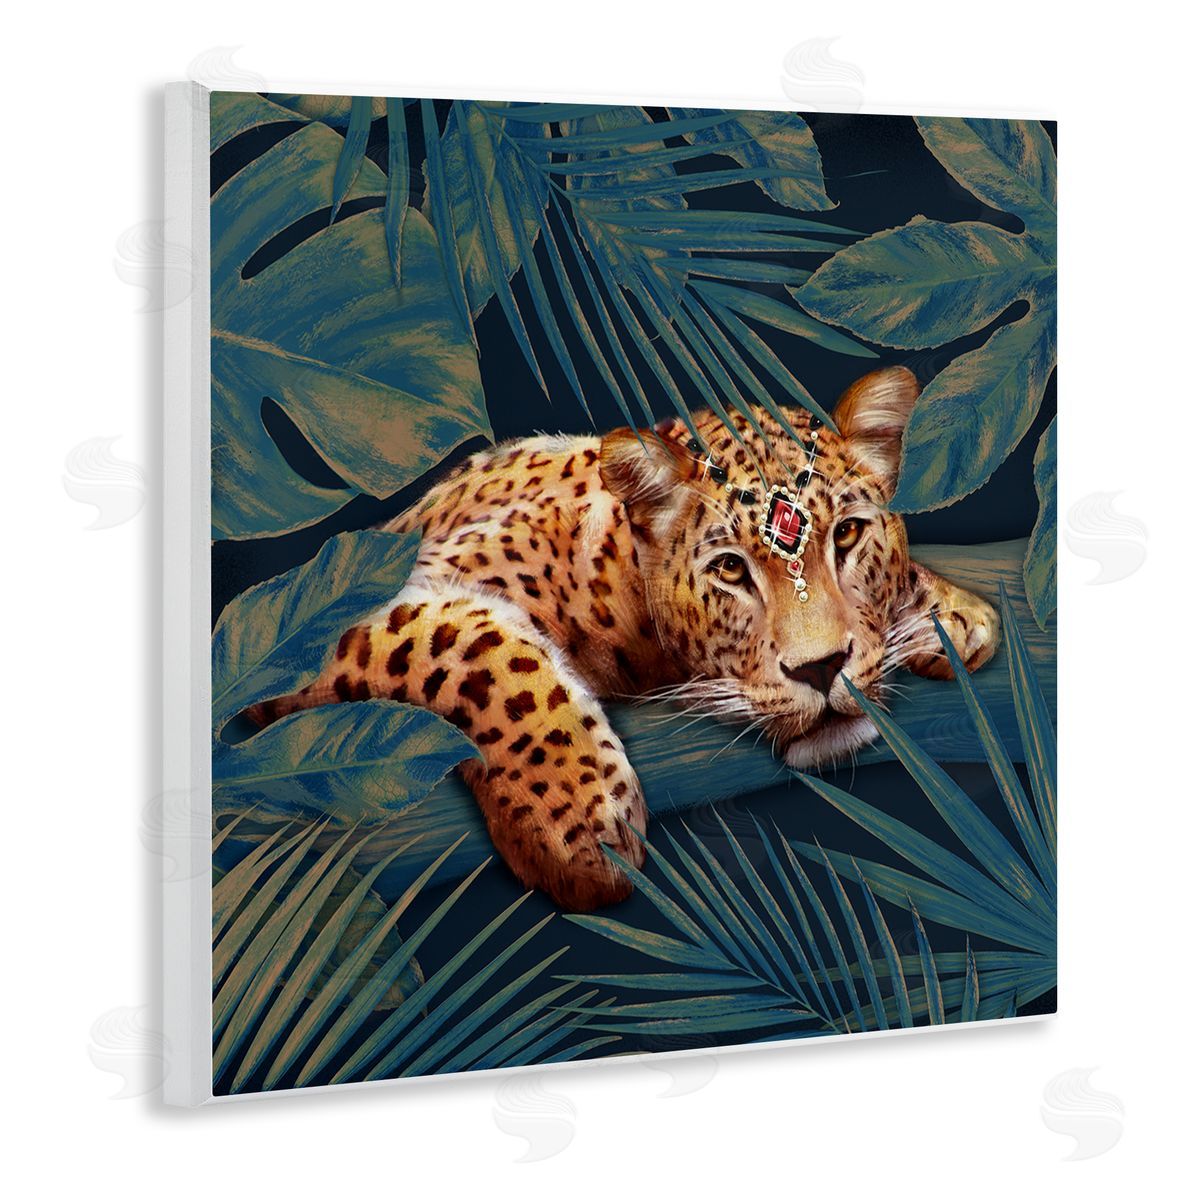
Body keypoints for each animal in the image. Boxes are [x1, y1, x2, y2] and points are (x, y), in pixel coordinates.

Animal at [246, 366, 999, 912]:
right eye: (731, 569)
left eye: (847, 535)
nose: (821, 669)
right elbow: (479, 647)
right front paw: (578, 826)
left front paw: (950, 613)